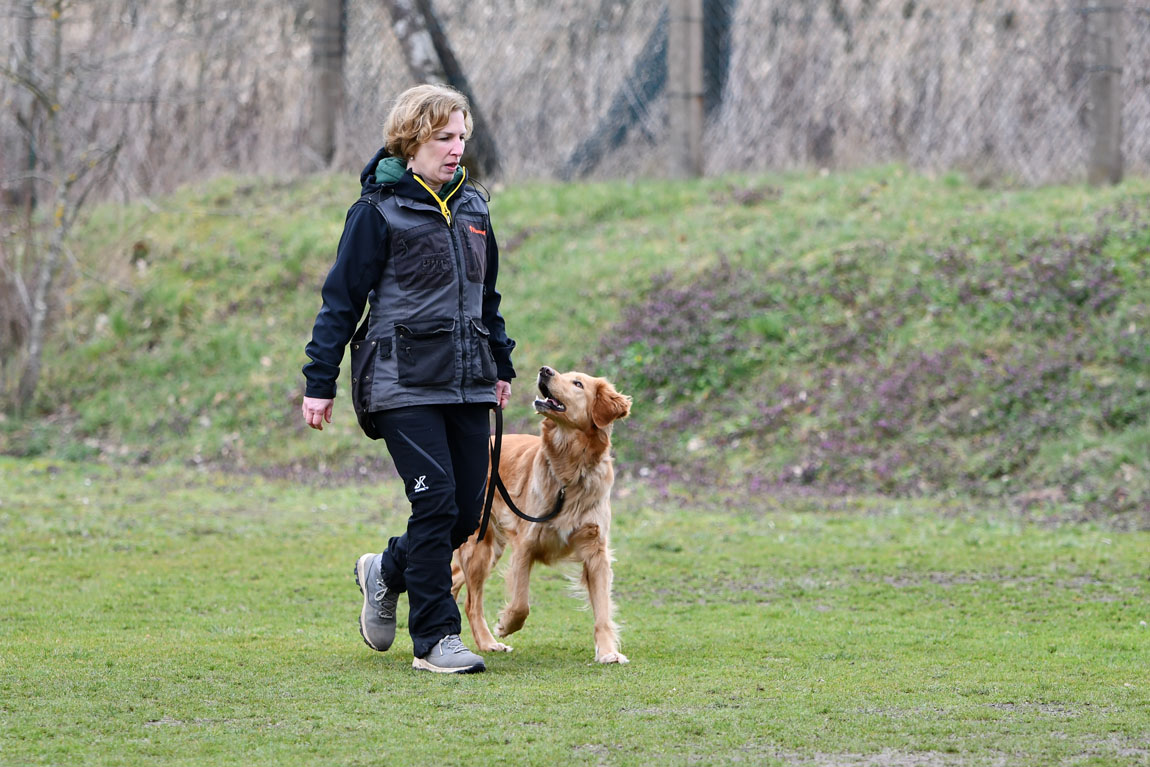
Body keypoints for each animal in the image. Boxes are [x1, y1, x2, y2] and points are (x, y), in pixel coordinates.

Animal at [448, 367, 634, 666]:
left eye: (578, 383)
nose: (545, 370)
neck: (570, 470)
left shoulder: (596, 552)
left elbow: (603, 611)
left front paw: (607, 652)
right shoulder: (526, 544)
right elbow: (521, 602)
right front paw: (506, 624)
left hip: (490, 548)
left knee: (455, 583)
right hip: (479, 545)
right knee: (472, 602)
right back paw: (489, 642)